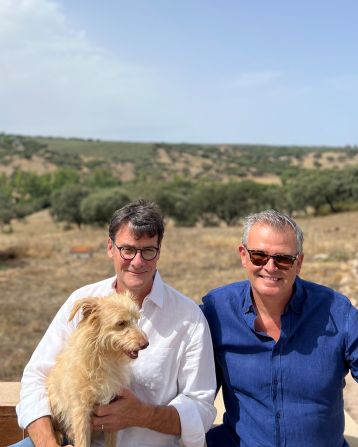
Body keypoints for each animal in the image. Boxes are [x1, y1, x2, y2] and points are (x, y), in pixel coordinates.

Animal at [47, 292, 148, 446]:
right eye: (121, 323)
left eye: (136, 320)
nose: (146, 344)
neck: (104, 360)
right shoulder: (81, 413)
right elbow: (82, 442)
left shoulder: (113, 414)